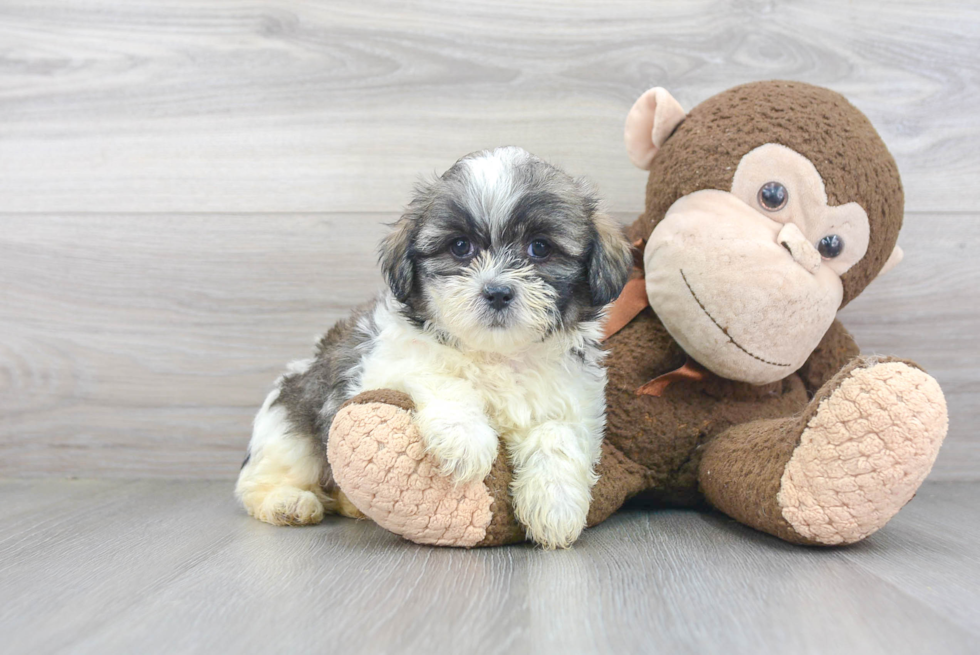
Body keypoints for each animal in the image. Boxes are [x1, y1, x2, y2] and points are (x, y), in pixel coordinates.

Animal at [241, 147, 632, 548]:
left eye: (539, 248)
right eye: (460, 247)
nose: (497, 291)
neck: (496, 354)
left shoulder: (575, 400)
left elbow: (558, 435)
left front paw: (556, 506)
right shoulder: (385, 365)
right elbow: (441, 375)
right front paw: (466, 439)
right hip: (289, 426)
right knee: (263, 477)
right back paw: (287, 502)